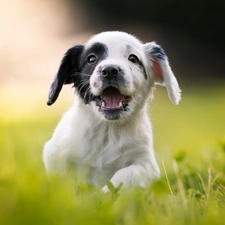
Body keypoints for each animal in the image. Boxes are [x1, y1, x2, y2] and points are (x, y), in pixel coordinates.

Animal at [43, 30, 181, 192]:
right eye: (91, 58)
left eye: (133, 58)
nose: (109, 70)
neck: (108, 131)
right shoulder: (53, 154)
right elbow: (64, 180)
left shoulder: (146, 165)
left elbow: (125, 175)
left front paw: (102, 194)